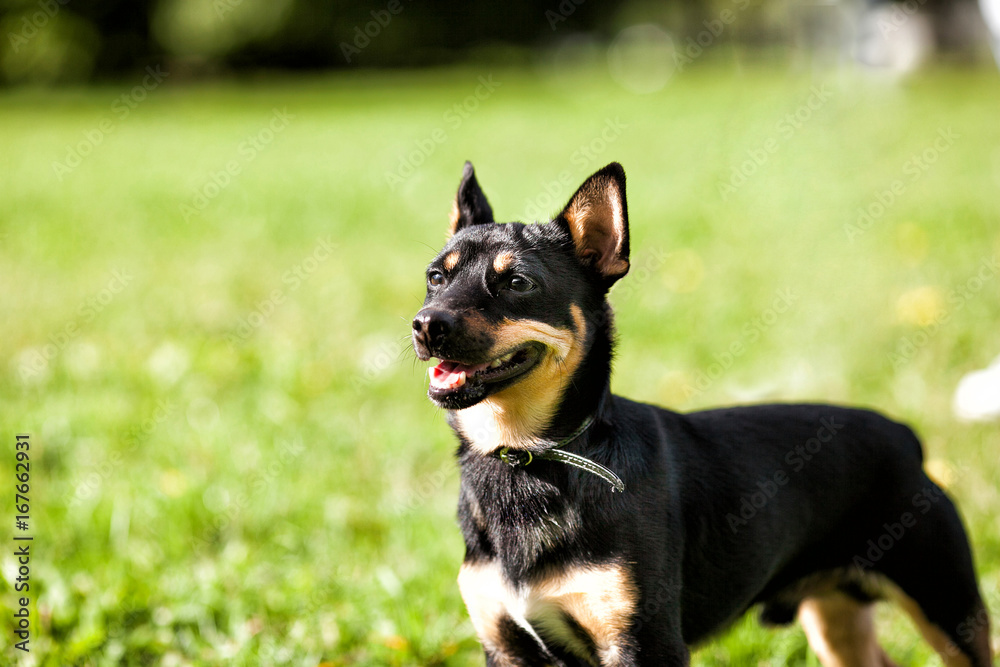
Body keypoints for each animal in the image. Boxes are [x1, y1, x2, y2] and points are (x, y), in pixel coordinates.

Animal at [408, 162, 992, 667]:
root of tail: (903, 435)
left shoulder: (644, 645)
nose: (426, 324)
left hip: (947, 607)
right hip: (837, 619)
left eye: (517, 283)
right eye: (436, 277)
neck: (531, 457)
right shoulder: (505, 646)